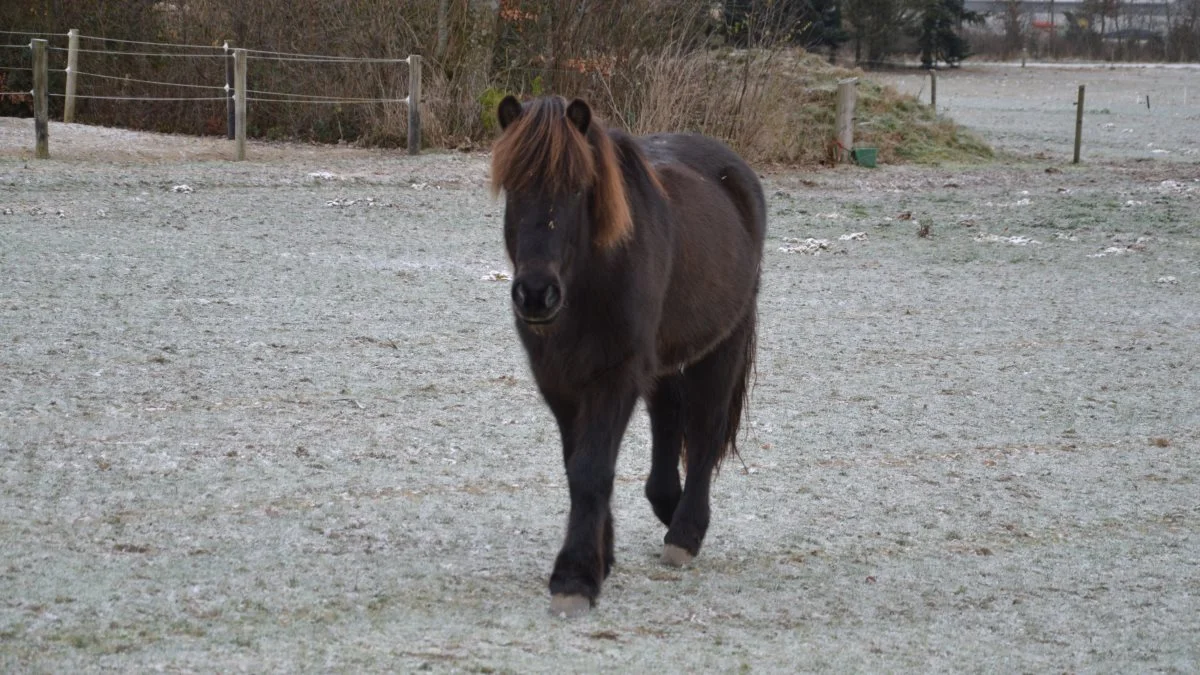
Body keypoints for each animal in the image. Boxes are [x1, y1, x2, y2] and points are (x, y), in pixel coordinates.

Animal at [489, 94, 763, 614]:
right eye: (513, 186)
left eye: (579, 190)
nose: (535, 295)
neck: (590, 280)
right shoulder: (559, 382)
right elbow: (578, 463)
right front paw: (601, 558)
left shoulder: (614, 376)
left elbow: (591, 469)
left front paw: (575, 577)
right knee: (669, 416)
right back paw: (668, 503)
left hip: (722, 346)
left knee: (704, 432)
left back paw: (685, 532)